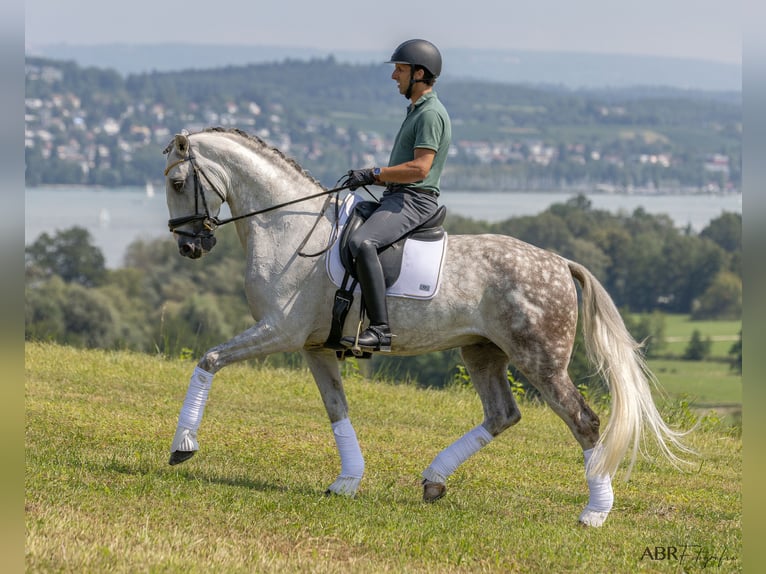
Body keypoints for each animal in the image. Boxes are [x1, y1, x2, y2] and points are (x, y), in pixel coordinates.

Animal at [165, 128, 692, 528]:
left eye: (176, 181)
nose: (189, 246)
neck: (291, 230)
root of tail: (561, 263)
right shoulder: (315, 347)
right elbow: (337, 410)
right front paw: (347, 481)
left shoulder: (280, 331)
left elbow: (209, 359)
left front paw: (182, 447)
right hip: (481, 352)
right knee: (503, 414)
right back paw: (435, 480)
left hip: (540, 360)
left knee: (583, 420)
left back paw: (594, 514)